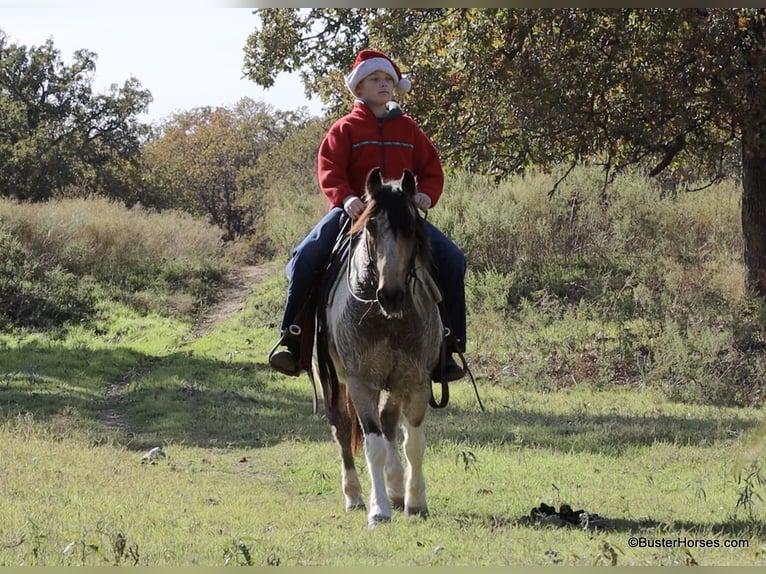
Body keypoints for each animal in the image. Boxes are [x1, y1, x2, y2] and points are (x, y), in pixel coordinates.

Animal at [312, 167, 444, 528]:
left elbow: (413, 443)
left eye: (413, 227)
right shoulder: (361, 383)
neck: (387, 319)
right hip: (332, 381)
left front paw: (415, 502)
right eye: (370, 226)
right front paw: (379, 509)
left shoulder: (414, 380)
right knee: (343, 430)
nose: (391, 295)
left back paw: (395, 488)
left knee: (388, 423)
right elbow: (372, 445)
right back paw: (355, 496)